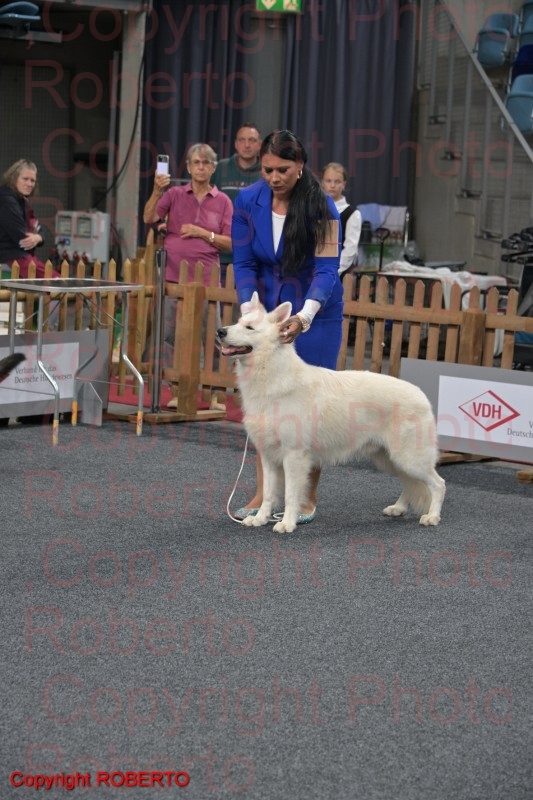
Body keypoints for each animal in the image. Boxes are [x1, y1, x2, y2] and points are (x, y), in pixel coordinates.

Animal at [217, 293, 445, 533]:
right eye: (238, 323)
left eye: (249, 328)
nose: (220, 331)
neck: (271, 374)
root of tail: (421, 395)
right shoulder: (268, 456)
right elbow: (268, 494)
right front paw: (260, 518)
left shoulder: (294, 456)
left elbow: (290, 495)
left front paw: (287, 523)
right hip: (390, 459)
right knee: (410, 483)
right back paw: (398, 508)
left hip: (409, 459)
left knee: (438, 484)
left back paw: (432, 516)